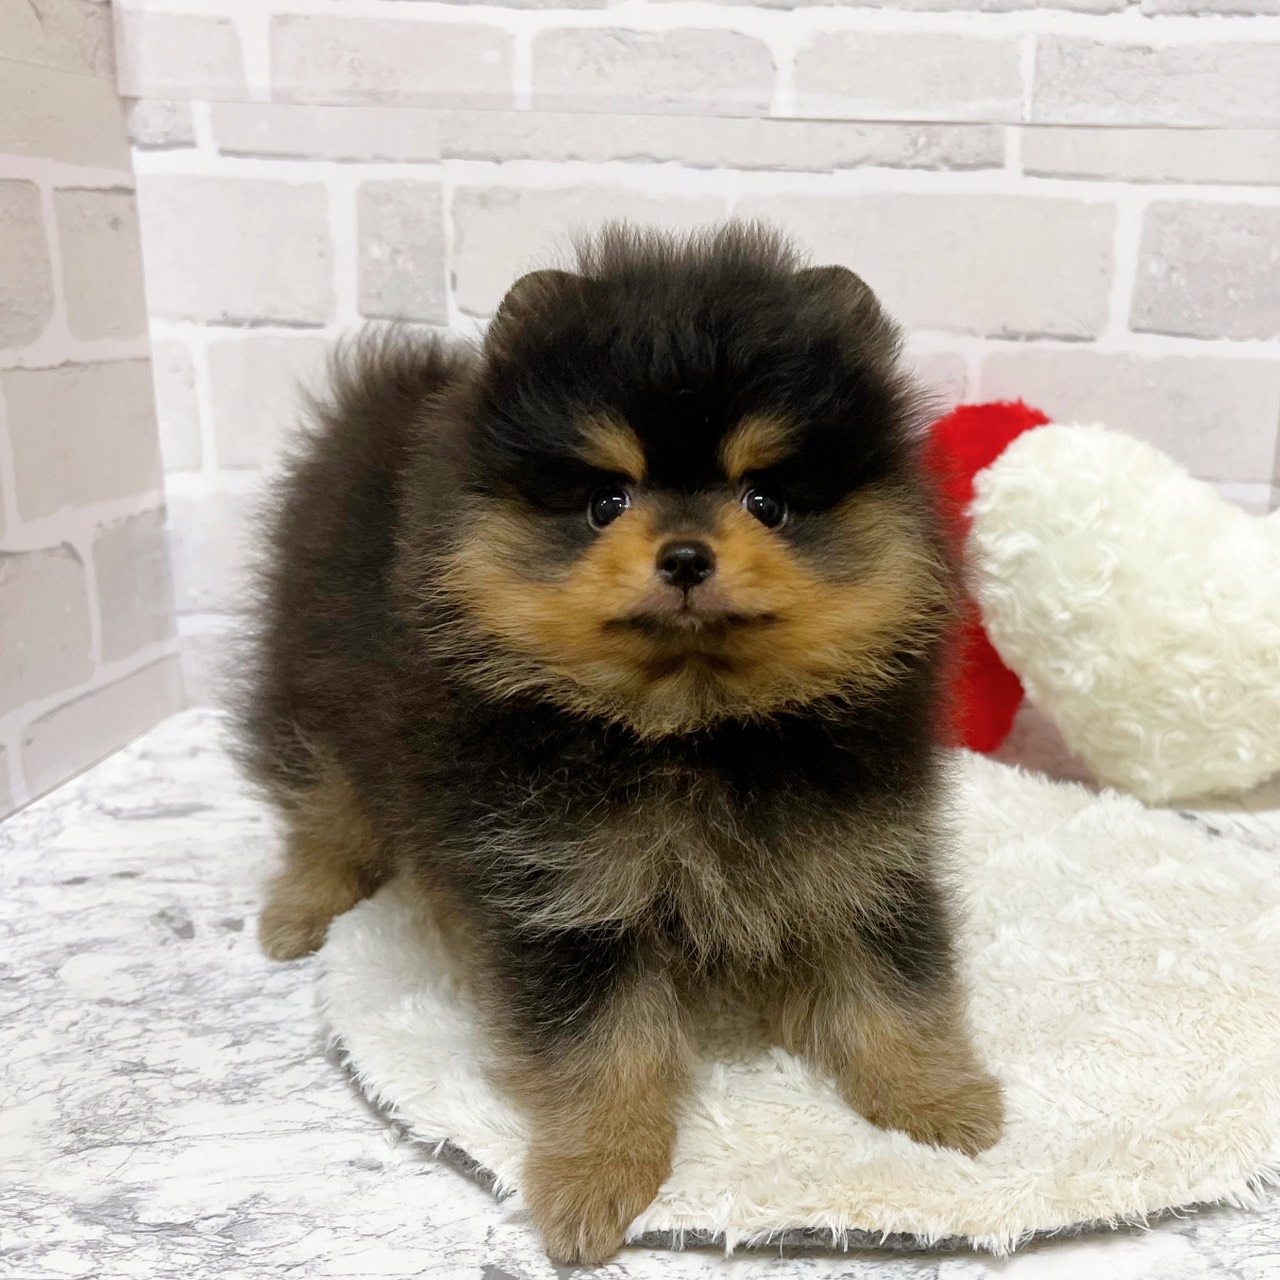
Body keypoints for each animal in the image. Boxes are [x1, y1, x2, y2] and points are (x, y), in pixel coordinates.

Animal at [239, 222, 1004, 1264]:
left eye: (766, 500)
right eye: (607, 500)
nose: (684, 554)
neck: (692, 732)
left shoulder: (855, 852)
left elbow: (893, 988)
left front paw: (940, 1100)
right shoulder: (563, 890)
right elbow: (602, 1050)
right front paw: (595, 1177)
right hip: (313, 689)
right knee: (323, 806)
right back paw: (300, 909)